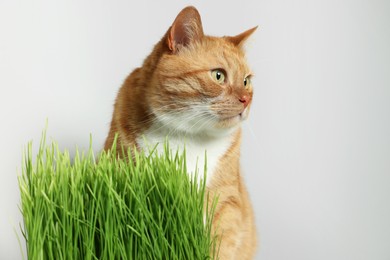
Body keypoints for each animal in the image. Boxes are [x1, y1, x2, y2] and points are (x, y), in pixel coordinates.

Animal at [103, 6, 258, 260]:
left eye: (246, 81)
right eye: (218, 75)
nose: (246, 100)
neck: (188, 136)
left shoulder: (226, 202)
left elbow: (221, 245)